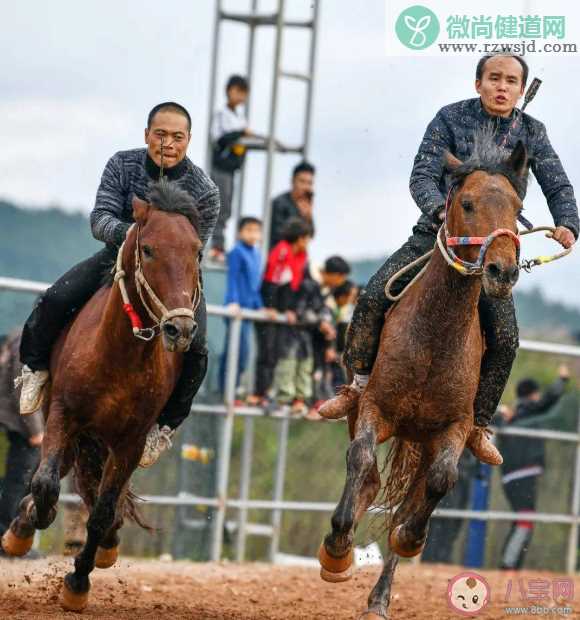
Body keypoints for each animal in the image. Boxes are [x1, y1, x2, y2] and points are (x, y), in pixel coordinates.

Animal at [1, 182, 202, 612]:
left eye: (196, 251)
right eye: (148, 249)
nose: (180, 329)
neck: (119, 355)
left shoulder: (131, 441)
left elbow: (103, 509)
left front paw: (77, 582)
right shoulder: (63, 416)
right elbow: (46, 484)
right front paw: (36, 520)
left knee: (101, 498)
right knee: (55, 476)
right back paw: (22, 529)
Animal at [320, 133, 528, 616]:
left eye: (516, 205)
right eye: (467, 203)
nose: (502, 270)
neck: (435, 333)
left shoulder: (454, 427)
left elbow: (439, 483)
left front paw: (410, 538)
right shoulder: (375, 408)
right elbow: (361, 460)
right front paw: (336, 550)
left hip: (426, 440)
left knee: (411, 497)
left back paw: (379, 599)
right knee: (368, 477)